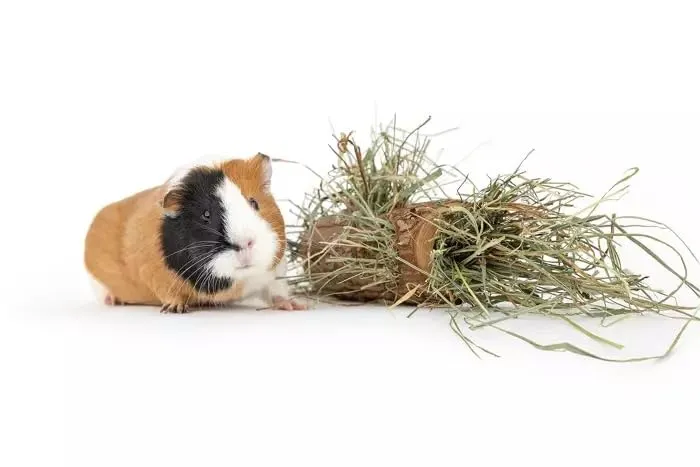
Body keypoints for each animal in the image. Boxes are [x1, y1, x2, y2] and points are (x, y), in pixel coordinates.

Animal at [84, 152, 305, 313]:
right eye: (206, 214)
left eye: (254, 203)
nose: (244, 243)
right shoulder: (152, 273)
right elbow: (169, 294)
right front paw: (174, 309)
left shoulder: (276, 272)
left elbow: (277, 291)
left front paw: (295, 306)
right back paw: (112, 301)